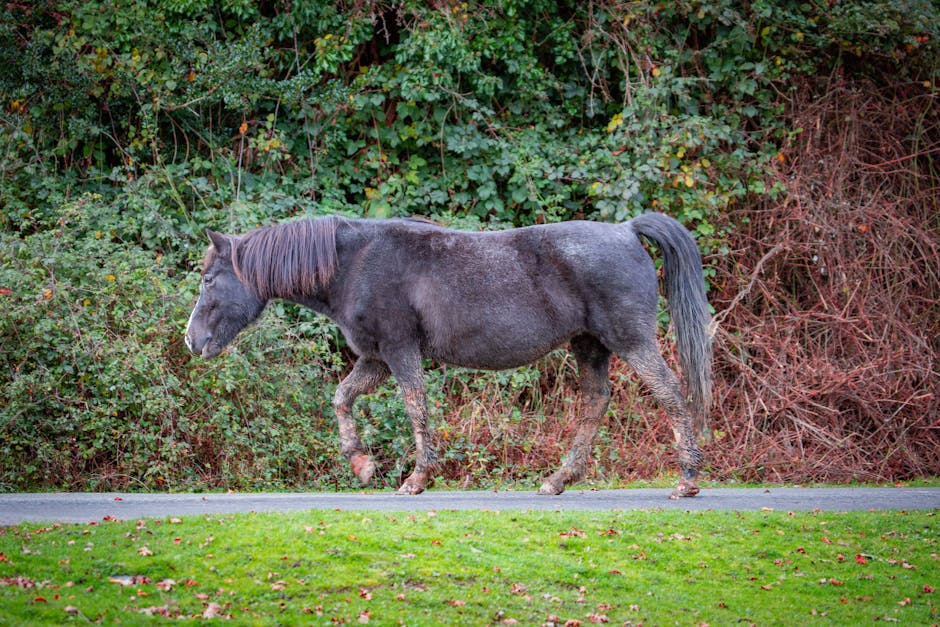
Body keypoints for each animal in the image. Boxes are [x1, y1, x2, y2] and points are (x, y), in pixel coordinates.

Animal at [184, 215, 712, 500]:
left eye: (209, 280)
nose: (192, 341)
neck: (354, 262)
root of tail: (627, 230)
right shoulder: (375, 360)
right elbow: (341, 398)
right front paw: (362, 464)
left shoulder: (399, 351)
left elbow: (416, 408)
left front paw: (417, 478)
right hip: (590, 345)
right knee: (595, 402)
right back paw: (559, 479)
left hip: (630, 340)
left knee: (670, 392)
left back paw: (687, 479)